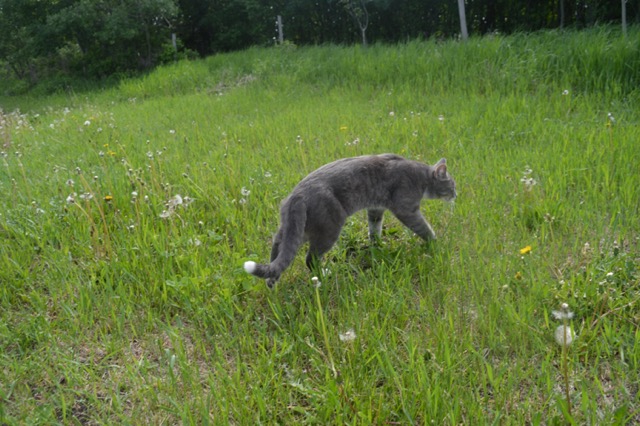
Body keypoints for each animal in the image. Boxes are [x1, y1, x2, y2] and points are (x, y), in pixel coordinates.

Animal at [242, 153, 458, 286]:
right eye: (452, 185)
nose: (457, 195)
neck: (421, 177)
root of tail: (297, 196)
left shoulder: (376, 208)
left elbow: (374, 227)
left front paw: (376, 245)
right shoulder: (406, 209)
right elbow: (424, 227)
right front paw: (435, 243)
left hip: (296, 229)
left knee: (279, 246)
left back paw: (272, 281)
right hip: (329, 228)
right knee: (310, 258)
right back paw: (323, 275)